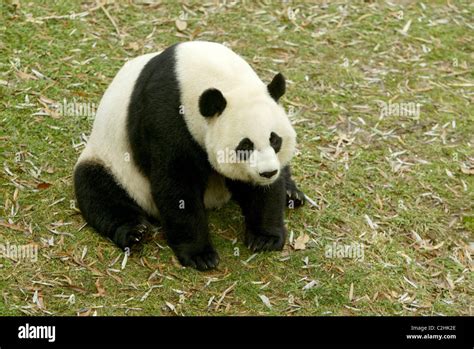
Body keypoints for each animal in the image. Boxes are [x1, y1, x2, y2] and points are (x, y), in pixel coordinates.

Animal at [74, 40, 304, 270]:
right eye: (245, 146)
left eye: (275, 140)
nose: (267, 172)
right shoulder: (166, 116)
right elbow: (177, 184)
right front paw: (200, 255)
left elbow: (264, 192)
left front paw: (265, 237)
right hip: (110, 159)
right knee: (99, 191)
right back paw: (135, 232)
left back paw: (292, 193)